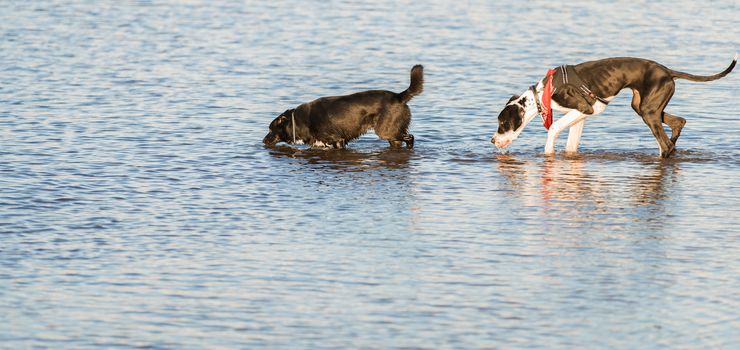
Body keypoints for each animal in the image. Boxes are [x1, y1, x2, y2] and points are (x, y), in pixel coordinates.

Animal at [264, 65, 422, 148]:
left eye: (270, 130)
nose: (263, 141)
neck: (299, 121)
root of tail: (399, 96)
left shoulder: (337, 141)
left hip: (386, 131)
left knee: (411, 137)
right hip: (392, 135)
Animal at [488, 54, 736, 157]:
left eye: (502, 123)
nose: (492, 140)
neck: (544, 93)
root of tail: (668, 71)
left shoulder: (587, 109)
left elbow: (554, 129)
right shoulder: (581, 116)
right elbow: (571, 145)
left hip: (649, 112)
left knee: (665, 145)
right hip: (645, 107)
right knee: (679, 124)